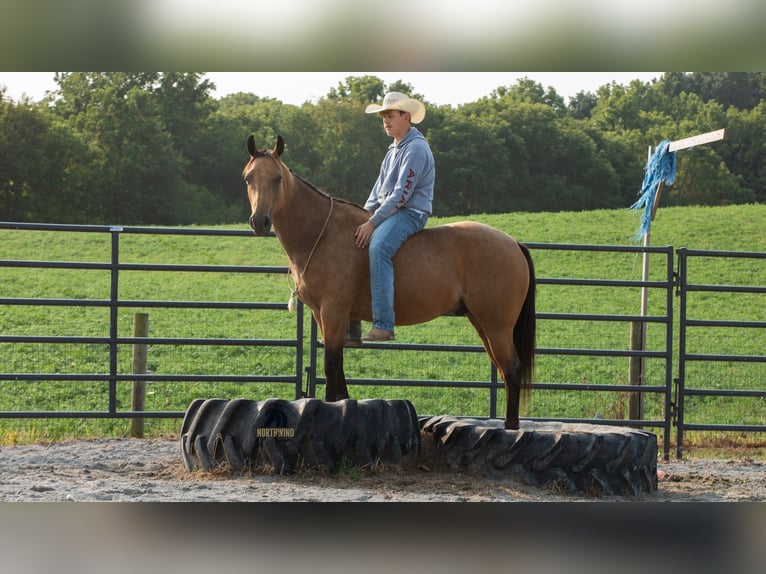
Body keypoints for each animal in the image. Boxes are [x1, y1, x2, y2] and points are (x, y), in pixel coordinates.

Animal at [243, 135, 536, 429]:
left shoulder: (333, 311)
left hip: (497, 325)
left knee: (511, 369)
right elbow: (339, 368)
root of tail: (513, 243)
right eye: (248, 178)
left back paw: (511, 429)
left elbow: (331, 365)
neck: (322, 234)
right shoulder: (321, 313)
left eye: (278, 178)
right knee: (503, 369)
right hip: (482, 322)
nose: (259, 222)